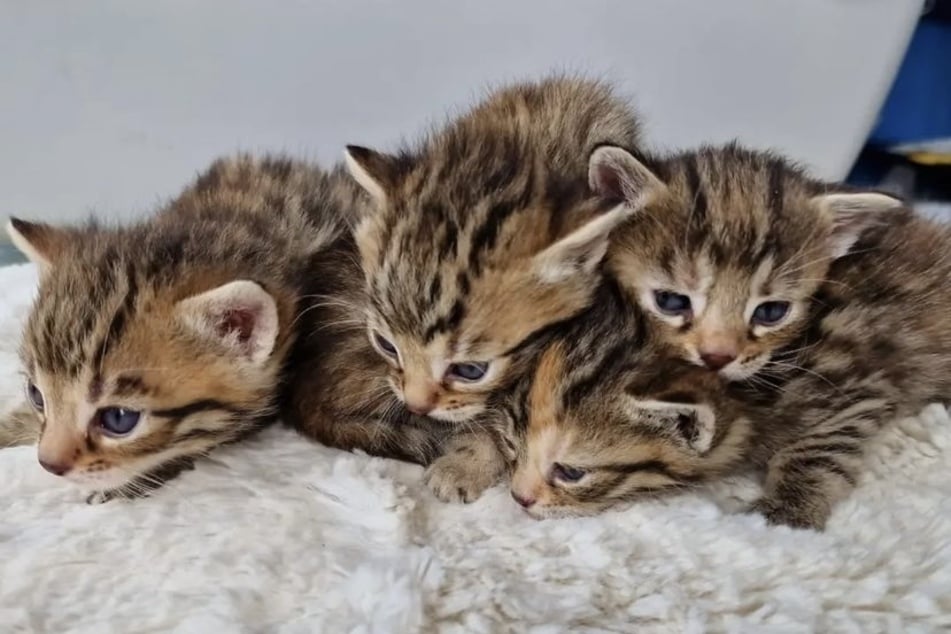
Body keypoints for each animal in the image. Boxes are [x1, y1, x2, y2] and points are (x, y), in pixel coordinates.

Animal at [290, 75, 644, 498]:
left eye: (470, 370)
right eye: (386, 345)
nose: (416, 406)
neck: (527, 148)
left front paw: (467, 463)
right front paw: (468, 459)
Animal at [510, 144, 951, 528]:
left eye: (771, 312)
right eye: (671, 301)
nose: (718, 356)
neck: (753, 401)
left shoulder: (861, 381)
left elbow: (824, 447)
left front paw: (788, 512)